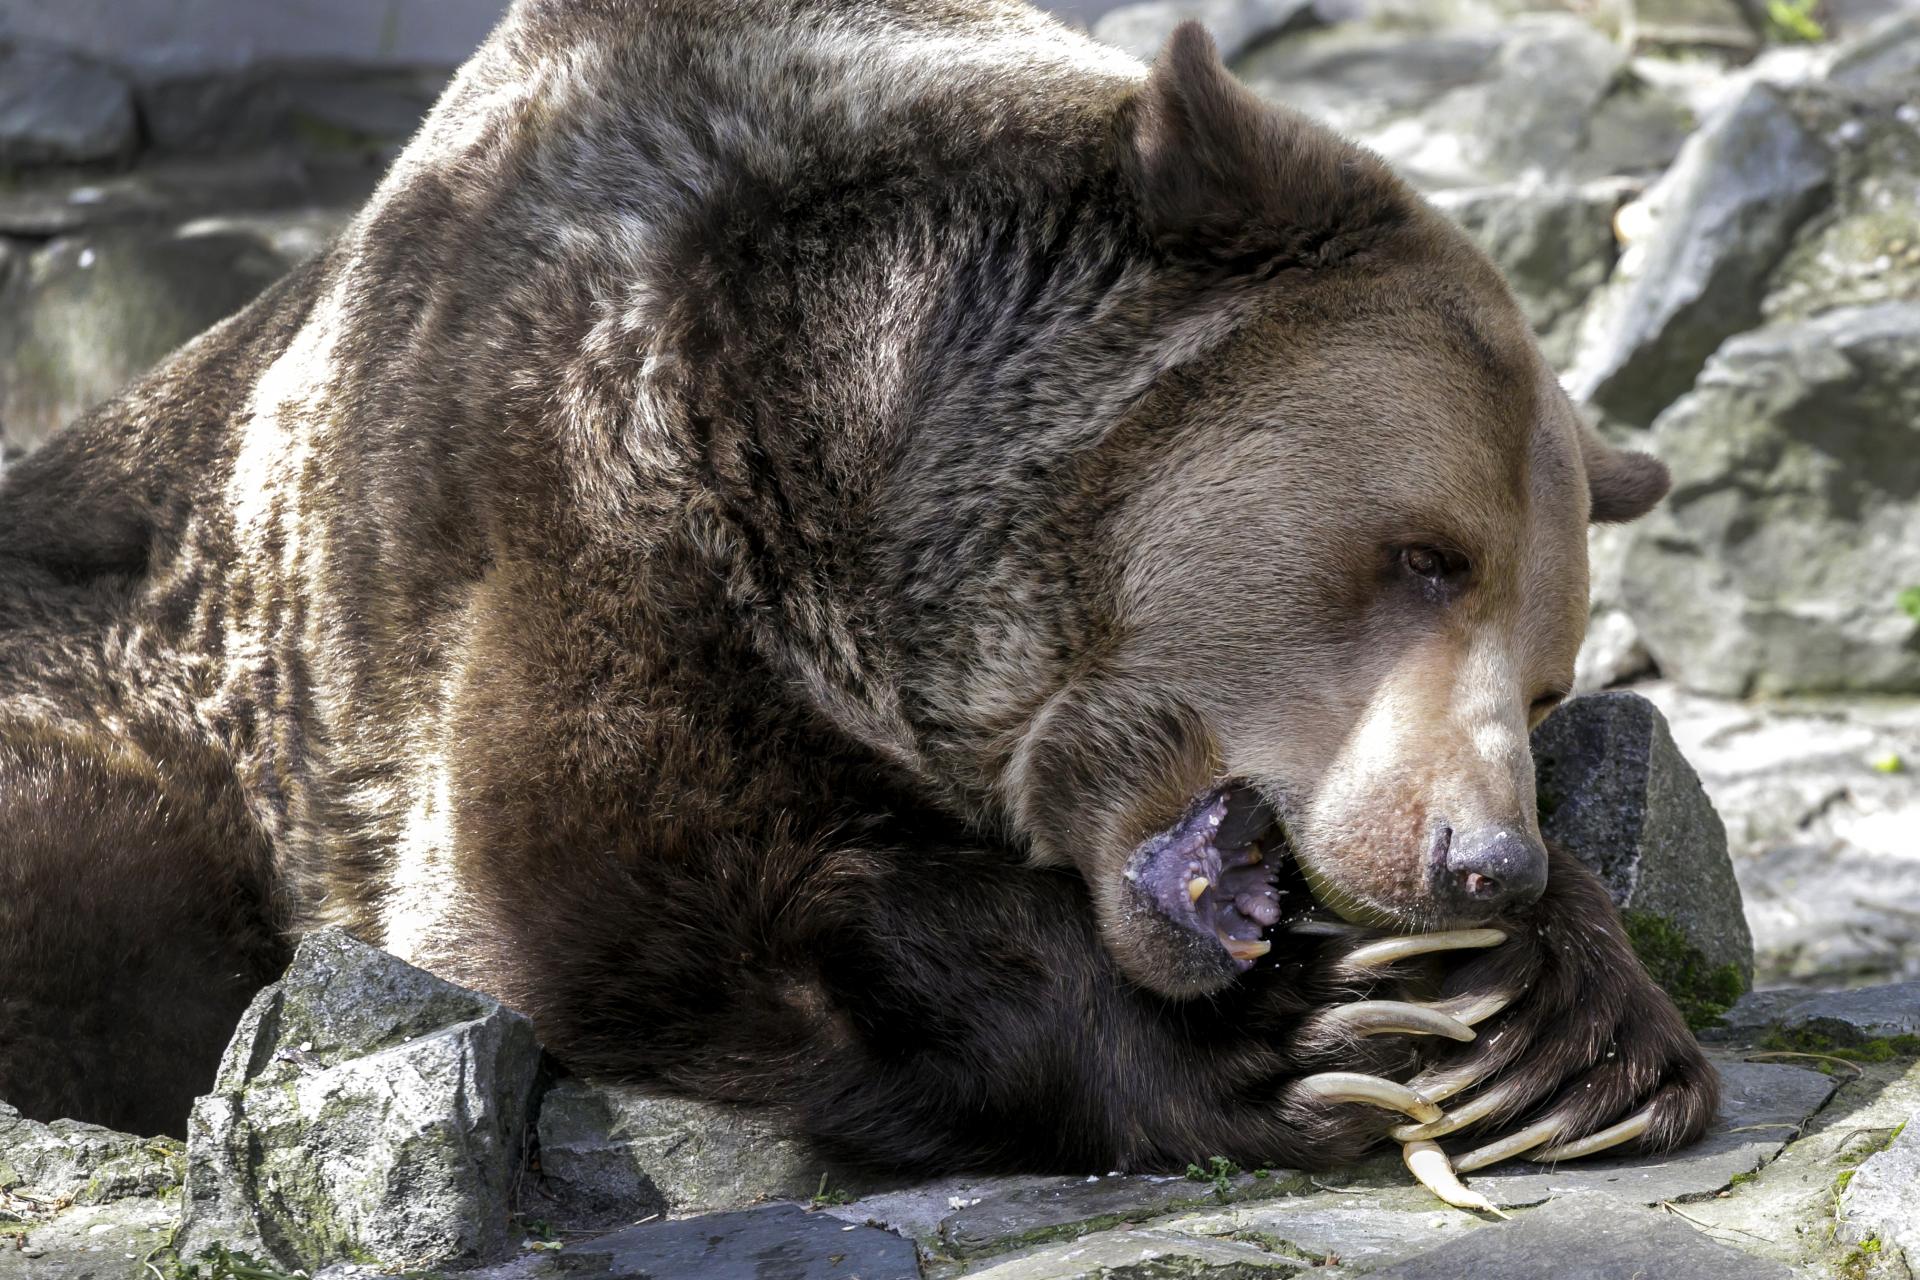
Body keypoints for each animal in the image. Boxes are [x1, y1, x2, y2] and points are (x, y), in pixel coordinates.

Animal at [0, 0, 1712, 1182]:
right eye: (1422, 554)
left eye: (1548, 674)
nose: (1481, 862)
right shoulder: (548, 474)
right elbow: (609, 870)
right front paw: (1295, 1038)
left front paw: (1565, 1034)